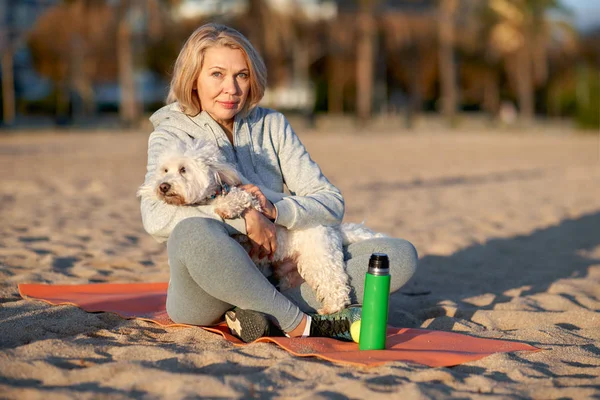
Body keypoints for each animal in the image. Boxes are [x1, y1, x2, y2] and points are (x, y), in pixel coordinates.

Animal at [138, 139, 384, 314]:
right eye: (164, 170)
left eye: (183, 170)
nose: (163, 186)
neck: (211, 195)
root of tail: (333, 228)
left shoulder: (253, 201)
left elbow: (242, 198)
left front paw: (227, 206)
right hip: (289, 272)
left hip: (319, 259)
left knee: (335, 284)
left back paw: (333, 307)